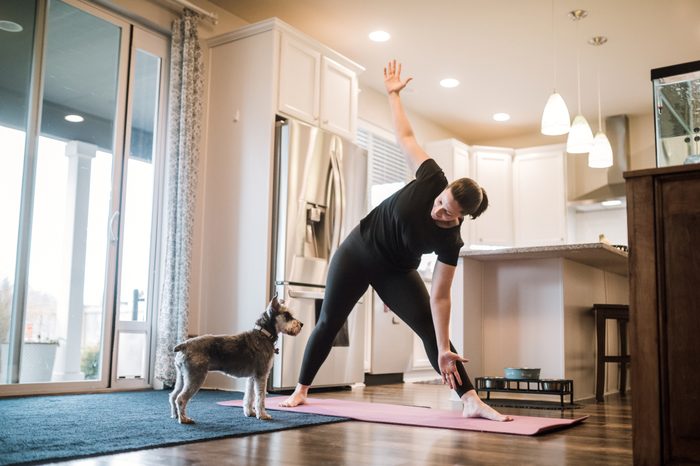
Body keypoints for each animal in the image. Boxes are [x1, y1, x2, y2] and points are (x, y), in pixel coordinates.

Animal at [170, 296, 304, 424]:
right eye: (287, 315)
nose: (301, 324)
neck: (264, 334)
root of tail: (184, 345)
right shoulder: (261, 375)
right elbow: (260, 397)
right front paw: (262, 415)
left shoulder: (252, 377)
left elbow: (249, 396)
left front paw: (250, 412)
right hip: (196, 377)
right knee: (181, 398)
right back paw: (184, 419)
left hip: (182, 377)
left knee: (173, 395)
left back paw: (175, 415)